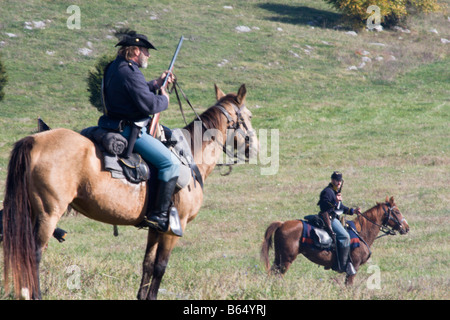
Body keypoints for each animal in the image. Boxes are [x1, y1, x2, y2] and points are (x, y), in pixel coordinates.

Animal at [1, 84, 258, 298]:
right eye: (249, 116)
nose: (255, 148)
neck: (190, 157)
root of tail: (34, 140)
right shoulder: (174, 229)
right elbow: (160, 268)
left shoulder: (155, 228)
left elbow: (147, 265)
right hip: (48, 214)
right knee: (34, 254)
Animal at [260, 196, 412, 286]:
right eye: (397, 212)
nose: (406, 227)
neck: (361, 232)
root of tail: (281, 224)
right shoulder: (353, 267)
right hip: (286, 260)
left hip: (279, 258)